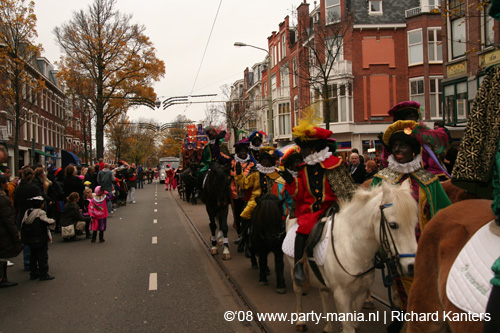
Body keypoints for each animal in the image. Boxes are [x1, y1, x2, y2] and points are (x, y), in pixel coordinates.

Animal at [286, 180, 418, 330]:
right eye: (393, 224)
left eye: (415, 224)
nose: (412, 266)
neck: (353, 246)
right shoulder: (341, 295)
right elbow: (348, 328)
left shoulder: (361, 293)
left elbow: (355, 323)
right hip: (294, 269)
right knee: (298, 291)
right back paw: (300, 321)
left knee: (323, 293)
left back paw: (328, 325)